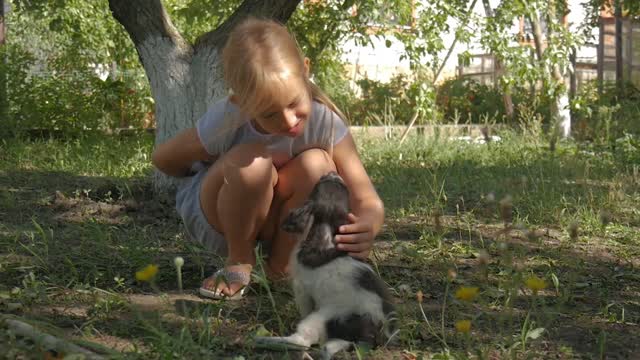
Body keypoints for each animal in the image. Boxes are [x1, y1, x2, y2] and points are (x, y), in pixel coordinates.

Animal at [255, 173, 396, 358]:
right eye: (343, 186)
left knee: (302, 342)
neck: (326, 234)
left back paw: (266, 340)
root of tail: (376, 330)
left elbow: (304, 308)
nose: (332, 173)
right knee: (335, 344)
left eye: (318, 184)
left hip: (323, 317)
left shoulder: (301, 289)